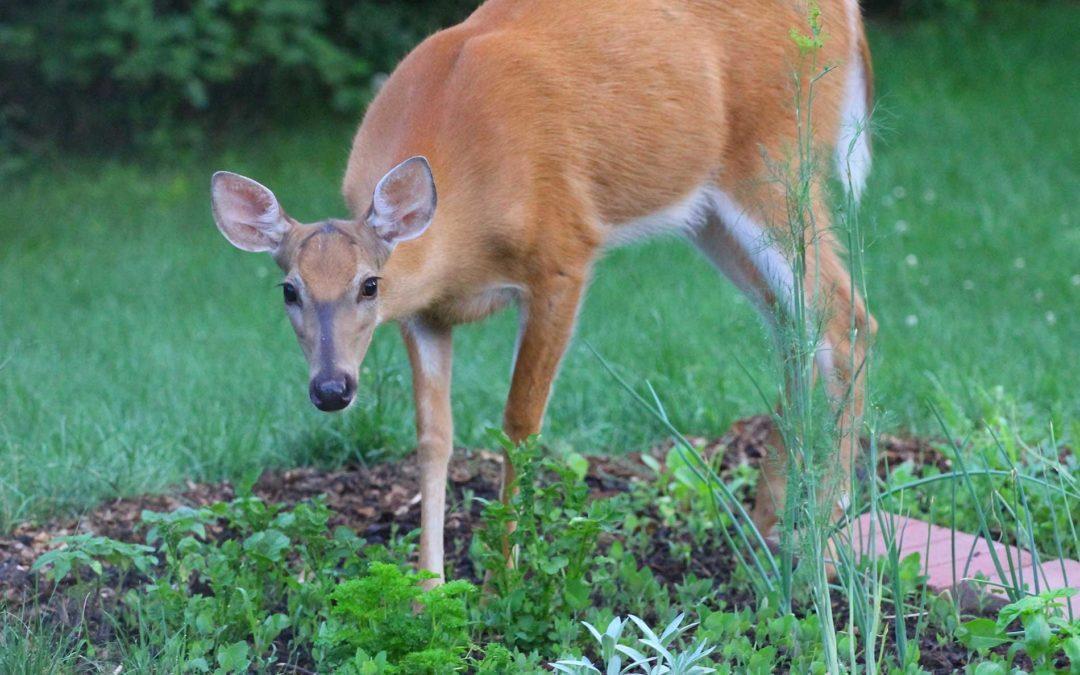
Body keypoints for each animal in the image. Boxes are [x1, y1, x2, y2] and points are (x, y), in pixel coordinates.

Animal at [210, 0, 876, 583]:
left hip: (776, 155)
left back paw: (830, 540)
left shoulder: (563, 257)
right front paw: (427, 588)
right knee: (793, 327)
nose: (331, 389)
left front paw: (503, 578)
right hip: (709, 212)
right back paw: (769, 528)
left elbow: (519, 423)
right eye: (289, 291)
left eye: (369, 284)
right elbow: (433, 438)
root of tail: (846, 14)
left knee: (845, 318)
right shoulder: (423, 314)